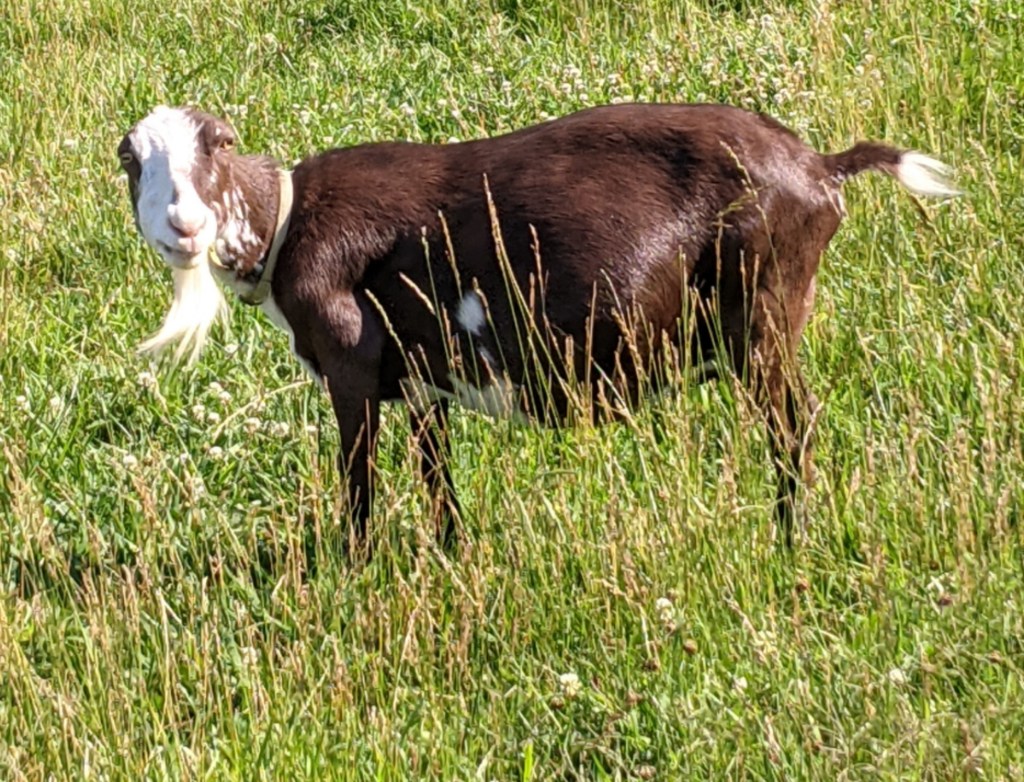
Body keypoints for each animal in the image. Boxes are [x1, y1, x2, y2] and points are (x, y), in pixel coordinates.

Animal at [117, 103, 956, 553]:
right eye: (132, 162)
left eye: (218, 146)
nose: (184, 225)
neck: (290, 222)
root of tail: (822, 167)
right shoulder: (421, 380)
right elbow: (436, 474)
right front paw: (450, 555)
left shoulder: (351, 363)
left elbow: (357, 479)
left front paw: (354, 569)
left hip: (763, 310)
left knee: (792, 423)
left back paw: (790, 540)